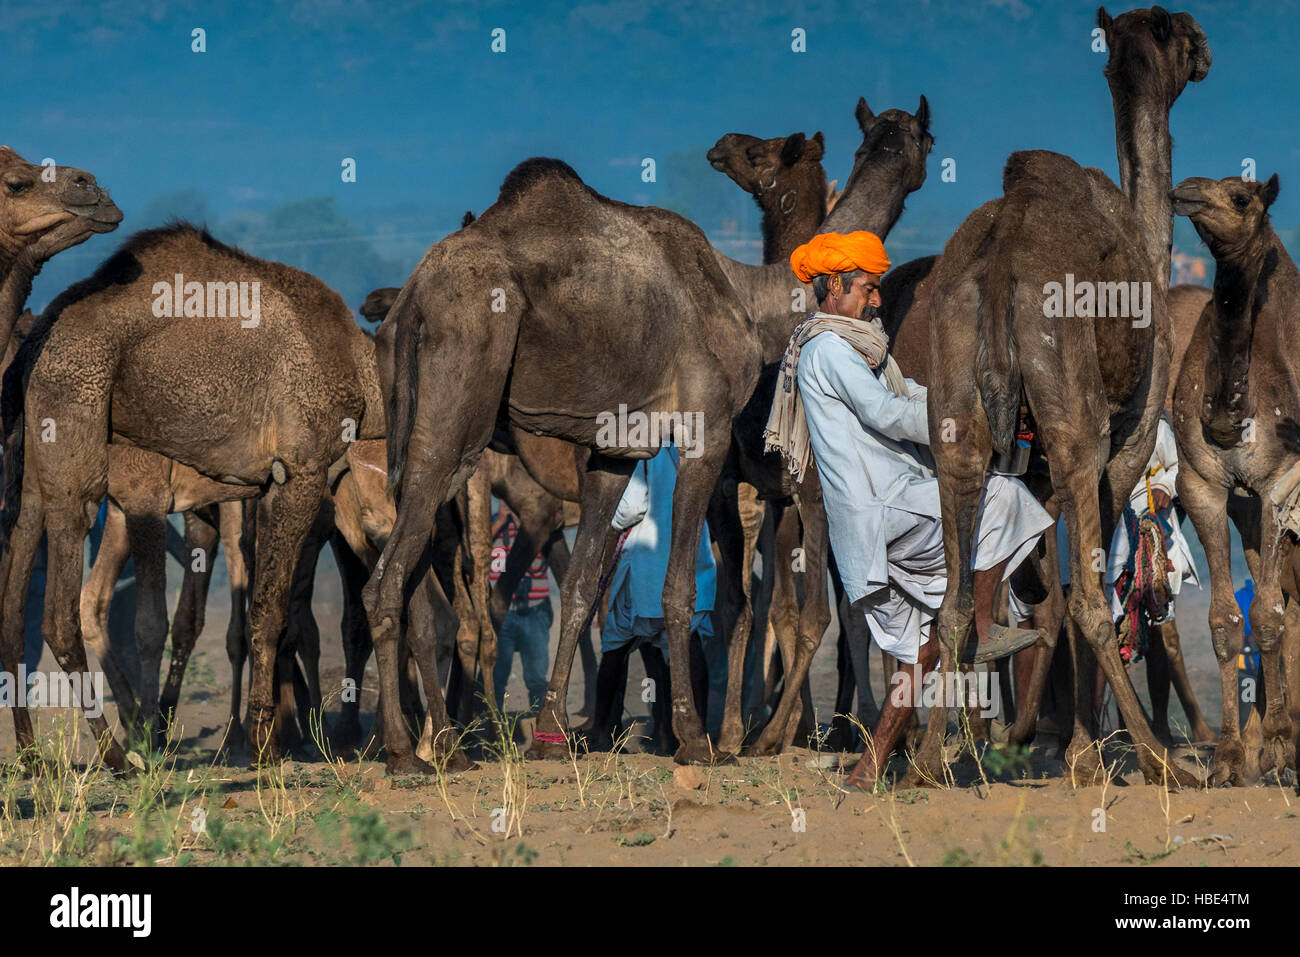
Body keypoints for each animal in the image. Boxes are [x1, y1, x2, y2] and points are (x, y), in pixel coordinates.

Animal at [366, 93, 935, 774]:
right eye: (922, 139)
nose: (721, 146)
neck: (748, 296)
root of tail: (412, 303)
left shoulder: (613, 448)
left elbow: (583, 587)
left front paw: (555, 734)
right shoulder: (705, 431)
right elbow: (683, 590)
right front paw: (696, 737)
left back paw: (443, 743)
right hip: (460, 404)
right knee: (390, 576)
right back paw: (411, 749)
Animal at [909, 3, 1211, 790]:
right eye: (1179, 31)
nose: (1204, 48)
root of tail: (1003, 257)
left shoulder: (1035, 468)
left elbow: (1043, 600)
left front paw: (1051, 743)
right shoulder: (1125, 439)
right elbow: (1084, 597)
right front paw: (1083, 751)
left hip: (957, 404)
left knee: (955, 602)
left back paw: (927, 761)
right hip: (1074, 414)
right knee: (1090, 601)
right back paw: (1164, 762)